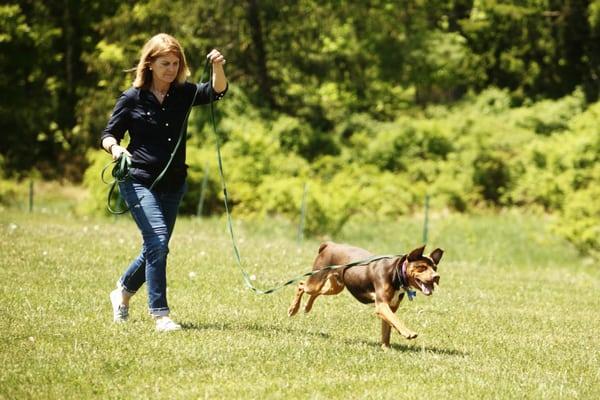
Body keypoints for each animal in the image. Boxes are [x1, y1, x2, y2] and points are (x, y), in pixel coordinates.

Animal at [288, 241, 442, 346]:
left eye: (434, 268)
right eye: (422, 267)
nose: (437, 277)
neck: (397, 272)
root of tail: (329, 244)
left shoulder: (389, 307)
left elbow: (387, 329)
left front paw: (385, 348)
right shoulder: (381, 305)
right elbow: (396, 321)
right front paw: (408, 332)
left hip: (335, 287)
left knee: (316, 292)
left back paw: (307, 307)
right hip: (316, 280)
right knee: (301, 285)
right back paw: (293, 309)